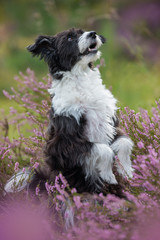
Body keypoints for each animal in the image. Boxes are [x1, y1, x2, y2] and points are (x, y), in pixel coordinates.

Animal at [4, 28, 133, 198]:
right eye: (70, 38)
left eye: (83, 31)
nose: (93, 33)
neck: (81, 80)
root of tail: (48, 181)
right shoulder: (66, 144)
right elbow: (104, 150)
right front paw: (108, 175)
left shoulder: (110, 125)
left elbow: (125, 142)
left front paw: (126, 170)